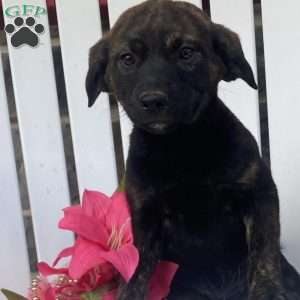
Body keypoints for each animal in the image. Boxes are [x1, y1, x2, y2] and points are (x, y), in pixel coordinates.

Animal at [85, 0, 300, 300]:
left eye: (186, 53)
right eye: (127, 58)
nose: (153, 100)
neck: (181, 145)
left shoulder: (258, 194)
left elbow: (263, 251)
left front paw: (267, 291)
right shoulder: (146, 216)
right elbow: (136, 268)